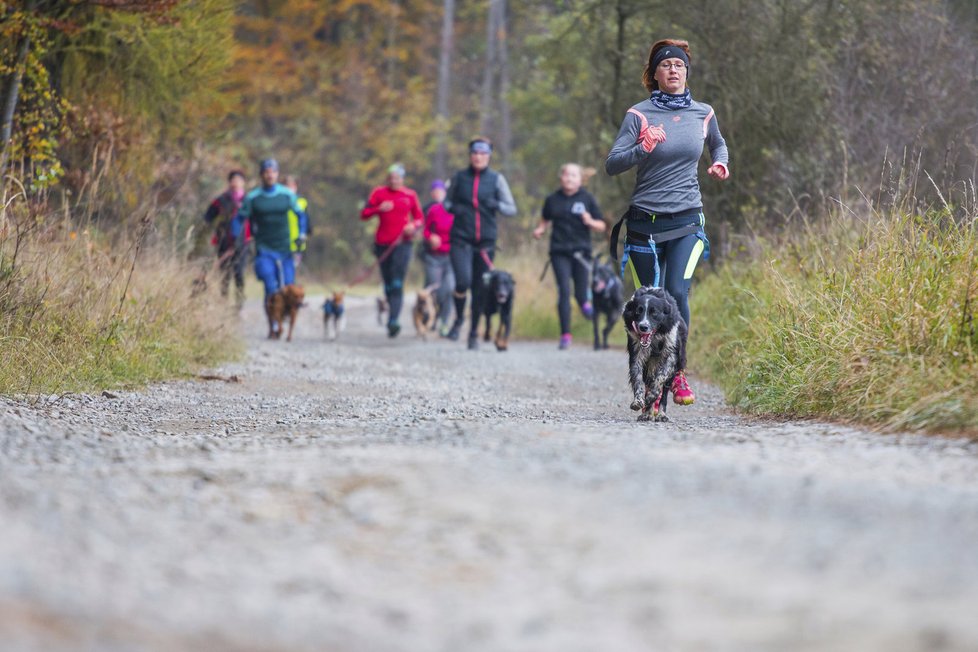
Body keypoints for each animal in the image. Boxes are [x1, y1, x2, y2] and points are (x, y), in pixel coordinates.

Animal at [620, 286, 684, 422]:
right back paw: (647, 413)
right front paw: (639, 401)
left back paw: (661, 414)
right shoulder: (637, 355)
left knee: (664, 392)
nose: (643, 327)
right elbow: (638, 380)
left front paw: (652, 395)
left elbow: (660, 377)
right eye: (638, 311)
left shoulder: (671, 354)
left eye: (654, 312)